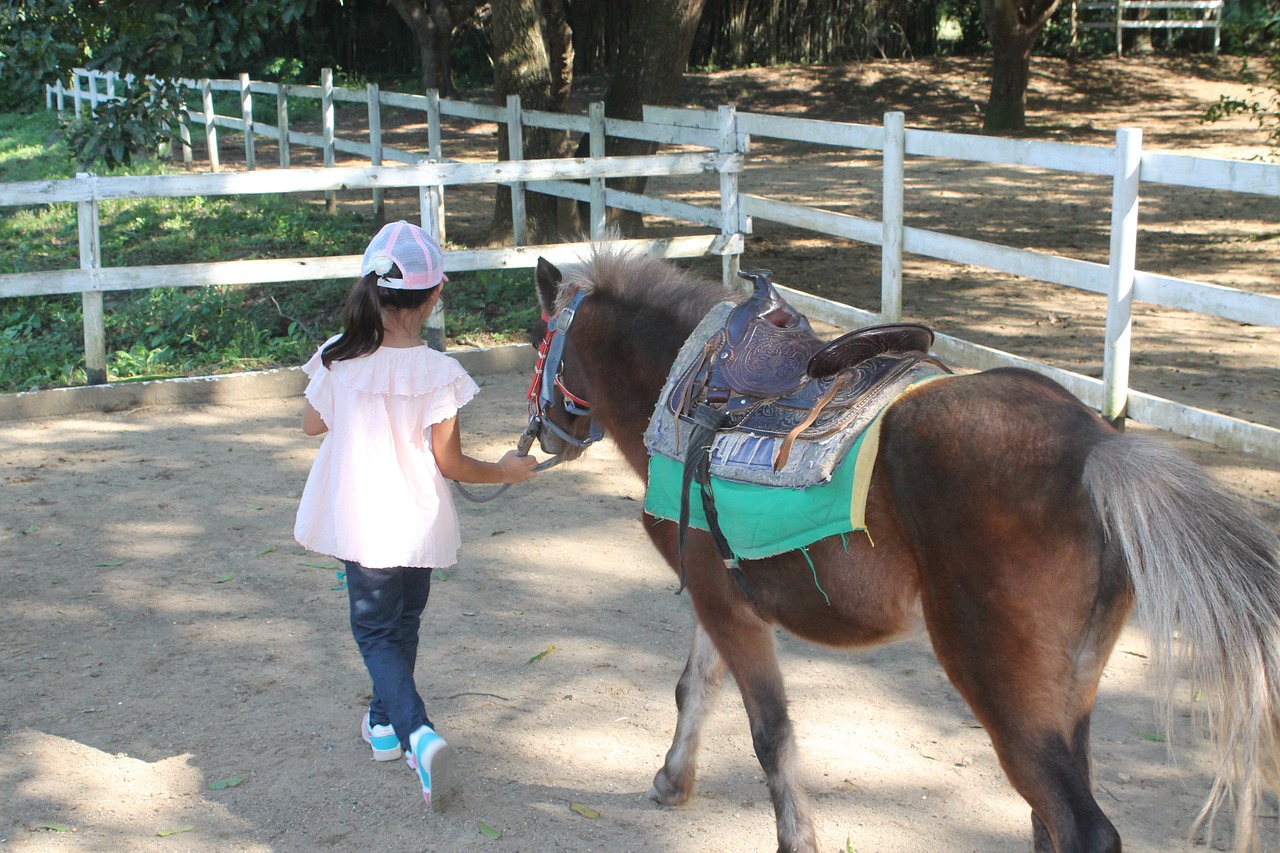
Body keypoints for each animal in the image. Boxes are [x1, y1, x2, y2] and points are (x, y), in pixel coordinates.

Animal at [519, 245, 1280, 850]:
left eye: (535, 340)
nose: (545, 434)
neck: (686, 387)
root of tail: (1098, 448)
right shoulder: (721, 597)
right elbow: (694, 689)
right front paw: (673, 779)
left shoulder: (726, 609)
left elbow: (770, 732)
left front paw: (796, 837)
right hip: (1069, 694)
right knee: (1050, 819)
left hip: (1006, 692)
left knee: (1080, 827)